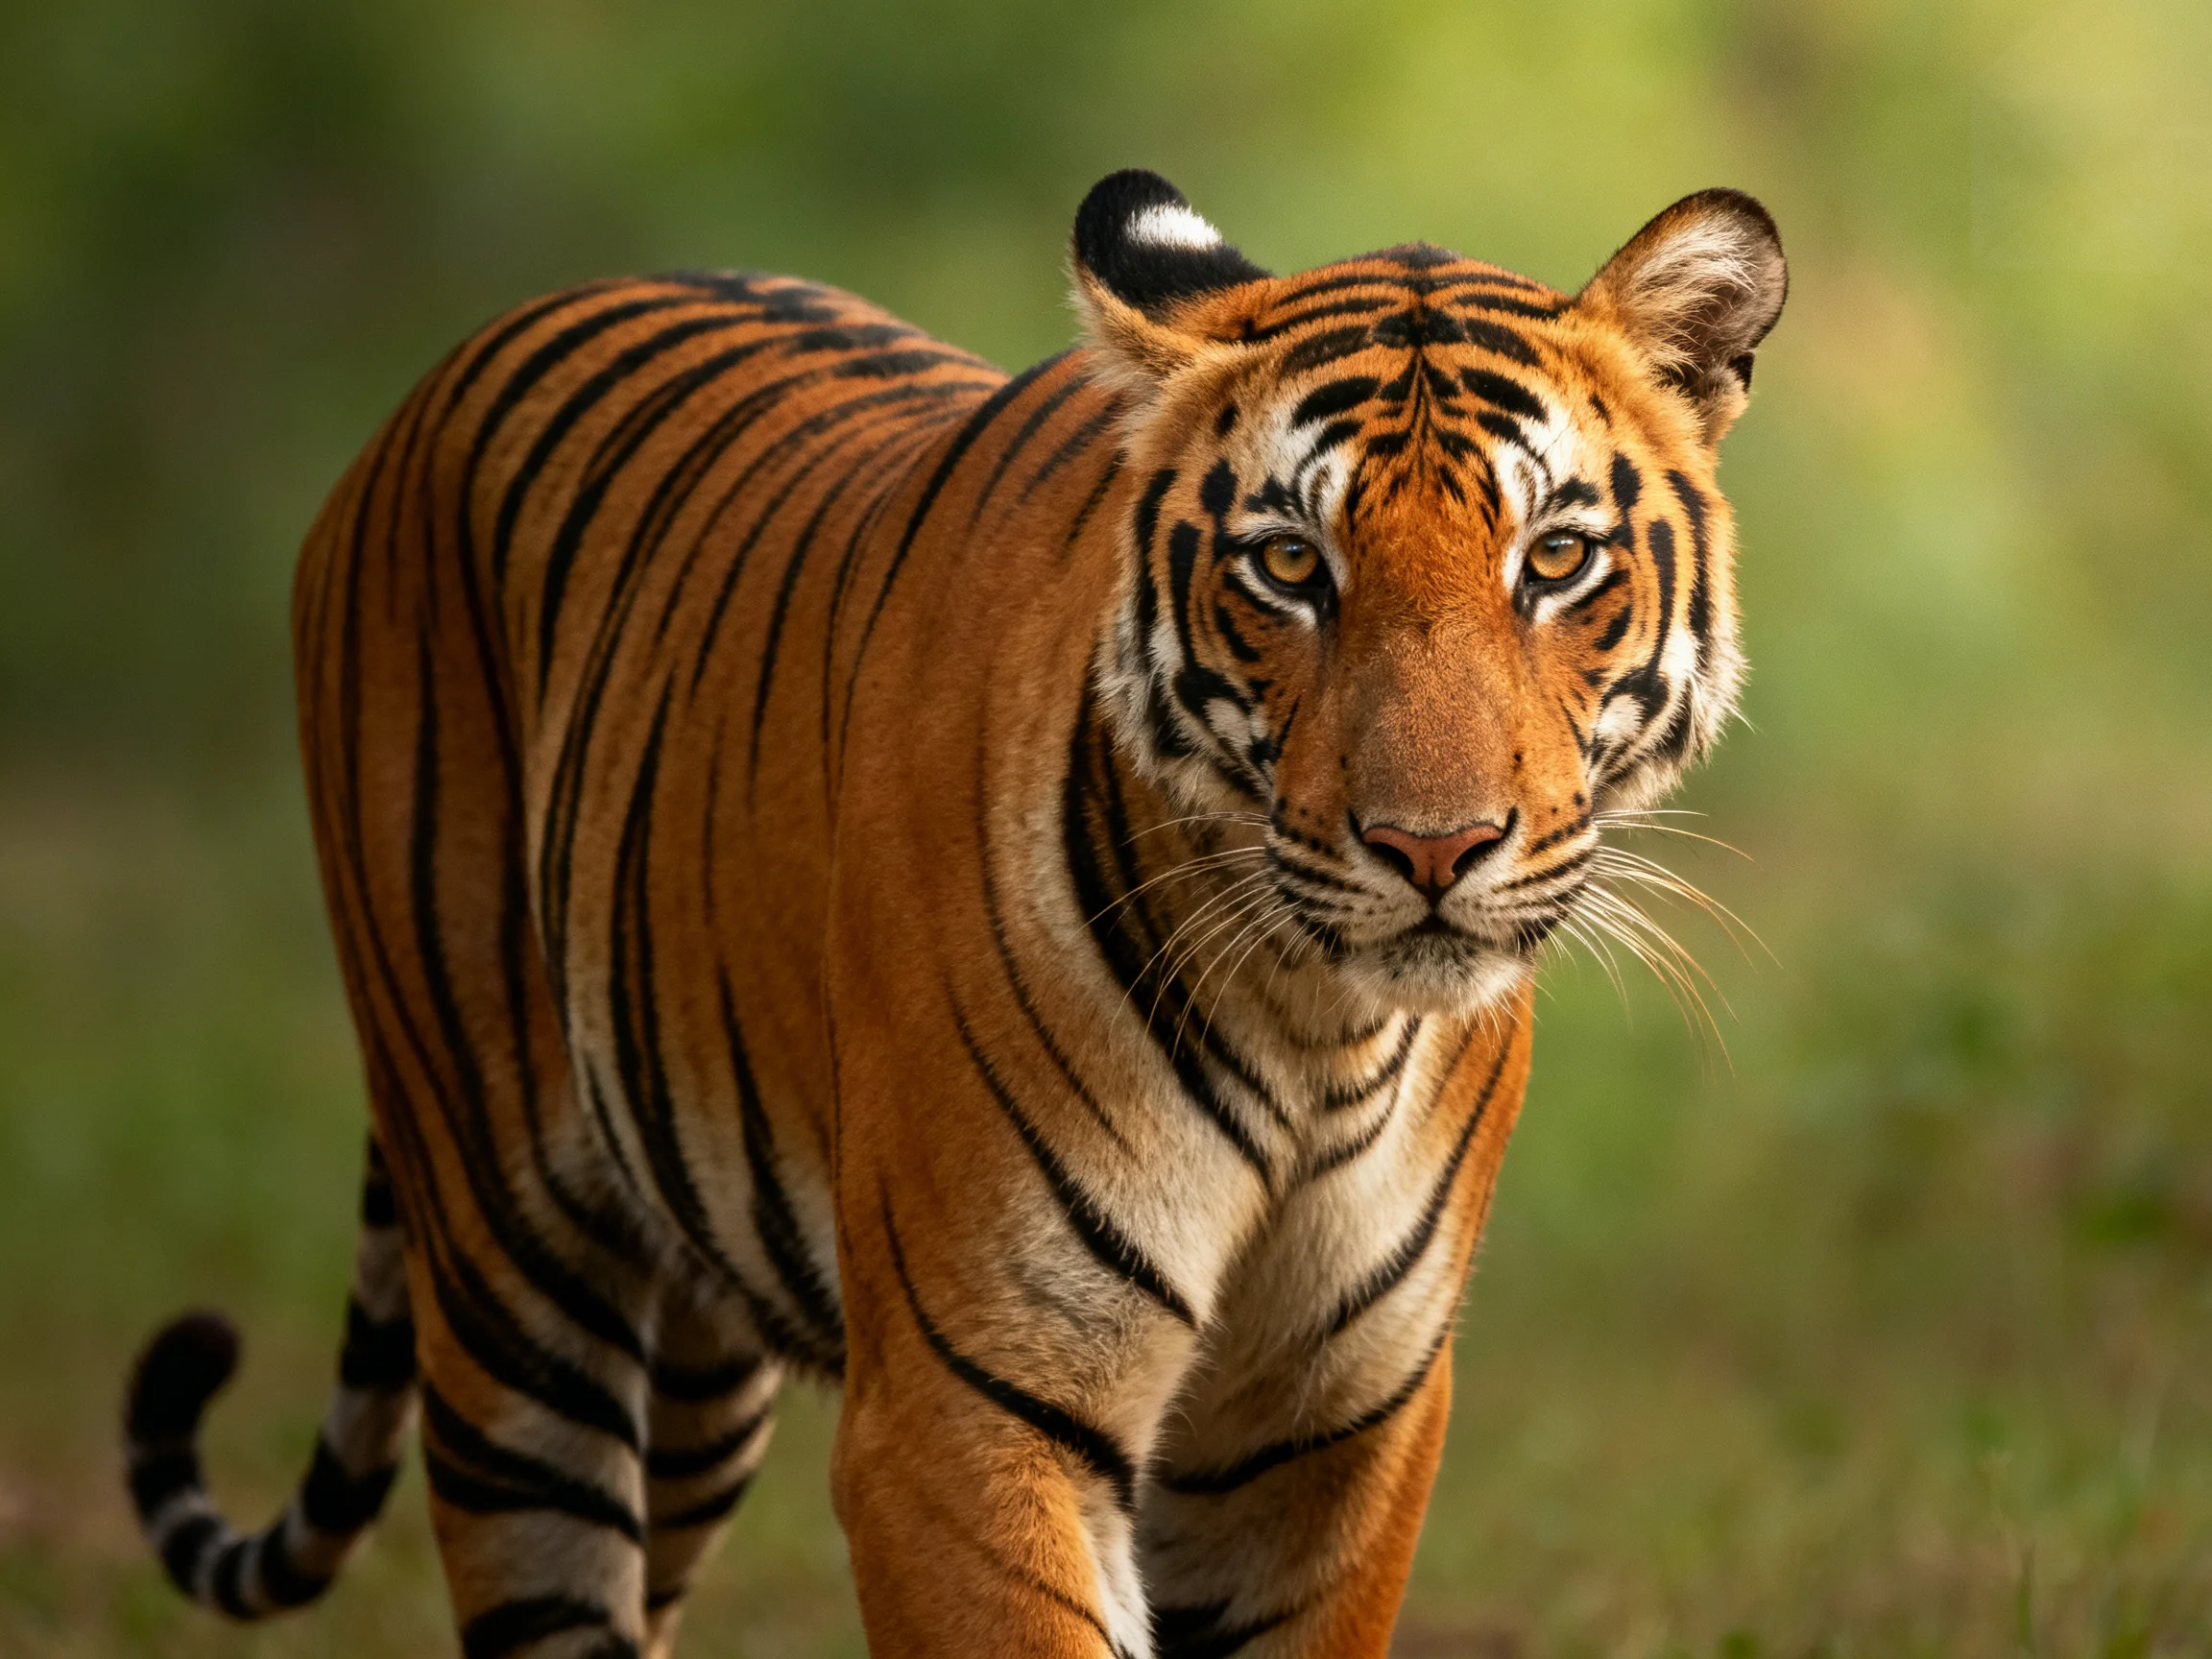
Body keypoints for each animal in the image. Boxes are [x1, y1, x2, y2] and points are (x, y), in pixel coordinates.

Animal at [121, 168, 1784, 1658]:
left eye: (1553, 558)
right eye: (1289, 566)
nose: (1432, 848)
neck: (1321, 1031)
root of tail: (448, 371)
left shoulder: (1331, 1436)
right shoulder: (967, 1416)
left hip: (699, 1355)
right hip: (510, 1266)